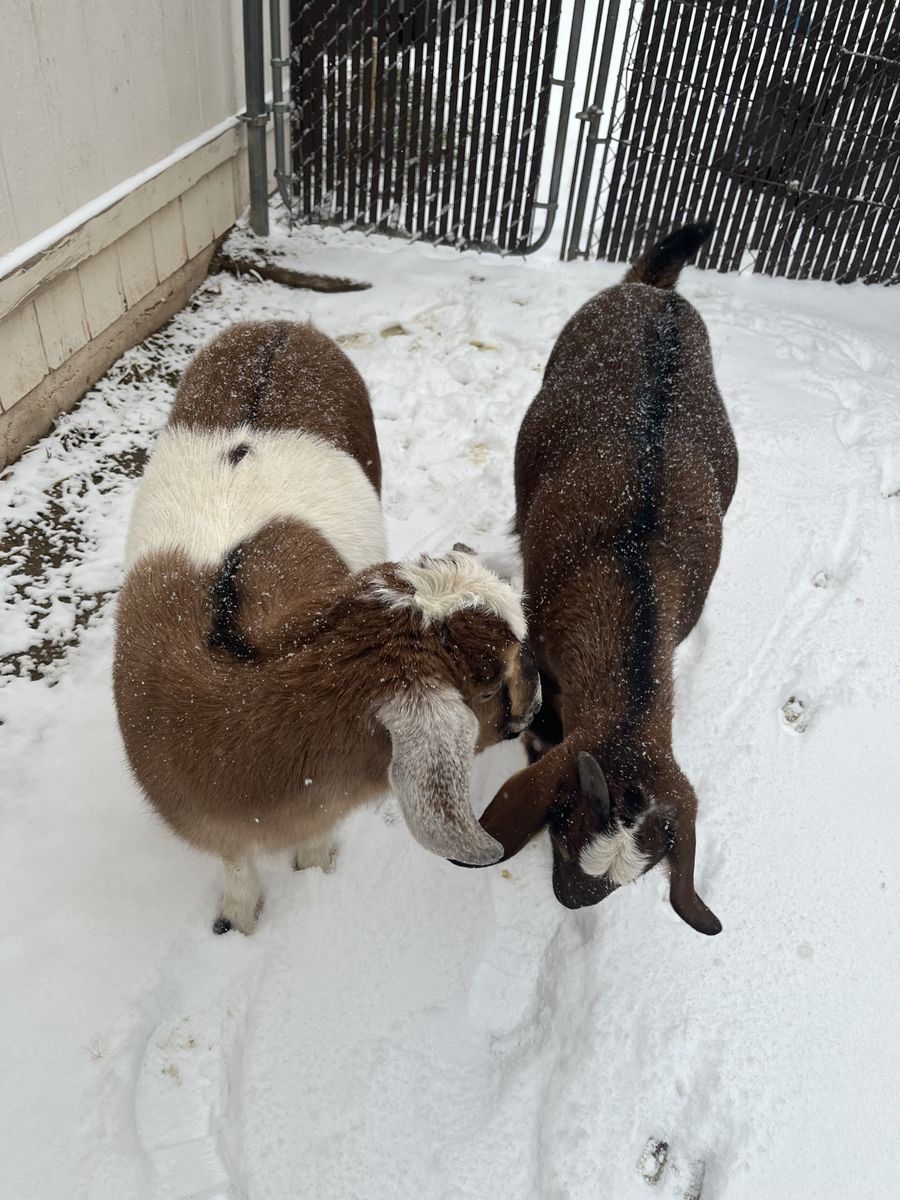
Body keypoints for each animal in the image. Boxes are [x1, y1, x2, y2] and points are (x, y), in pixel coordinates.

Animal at [114, 321, 540, 934]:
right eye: (485, 687)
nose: (537, 697)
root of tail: (284, 328)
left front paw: (312, 872)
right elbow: (236, 865)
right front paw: (239, 920)